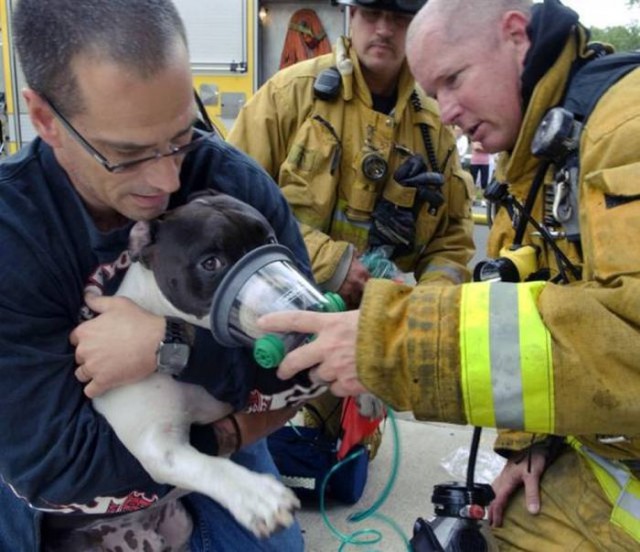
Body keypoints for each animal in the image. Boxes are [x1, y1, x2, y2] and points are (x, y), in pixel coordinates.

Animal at [91, 192, 312, 536]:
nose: (296, 299)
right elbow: (210, 465)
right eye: (211, 263)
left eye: (270, 240)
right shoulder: (158, 442)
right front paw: (256, 496)